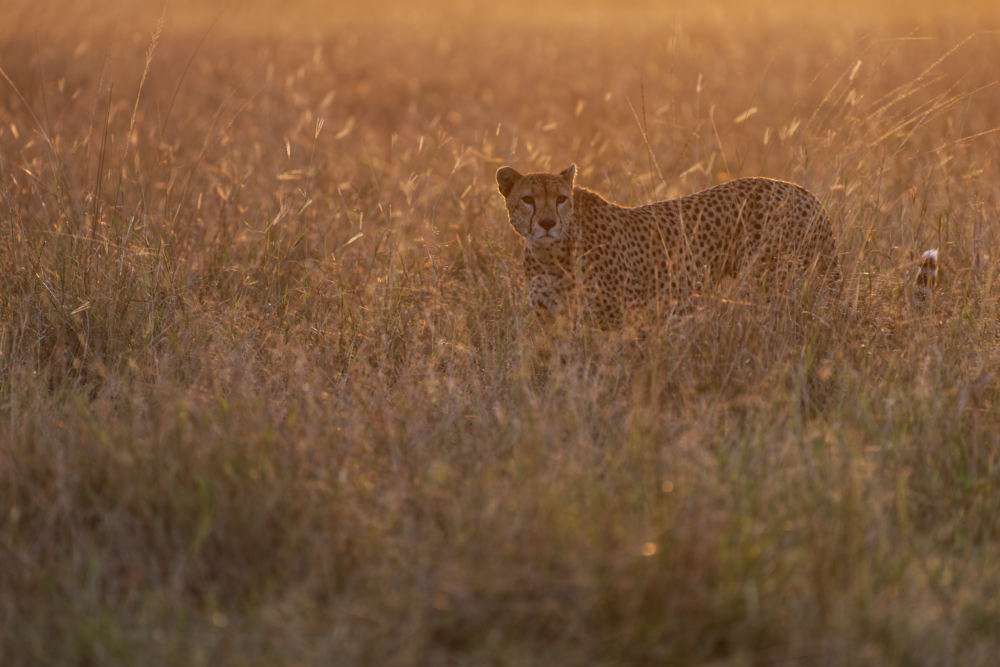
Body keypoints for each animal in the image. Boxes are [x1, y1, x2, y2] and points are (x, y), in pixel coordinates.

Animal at [498, 164, 836, 326]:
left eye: (560, 199)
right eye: (528, 199)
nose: (546, 223)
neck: (550, 255)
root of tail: (805, 193)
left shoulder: (618, 317)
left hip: (771, 282)